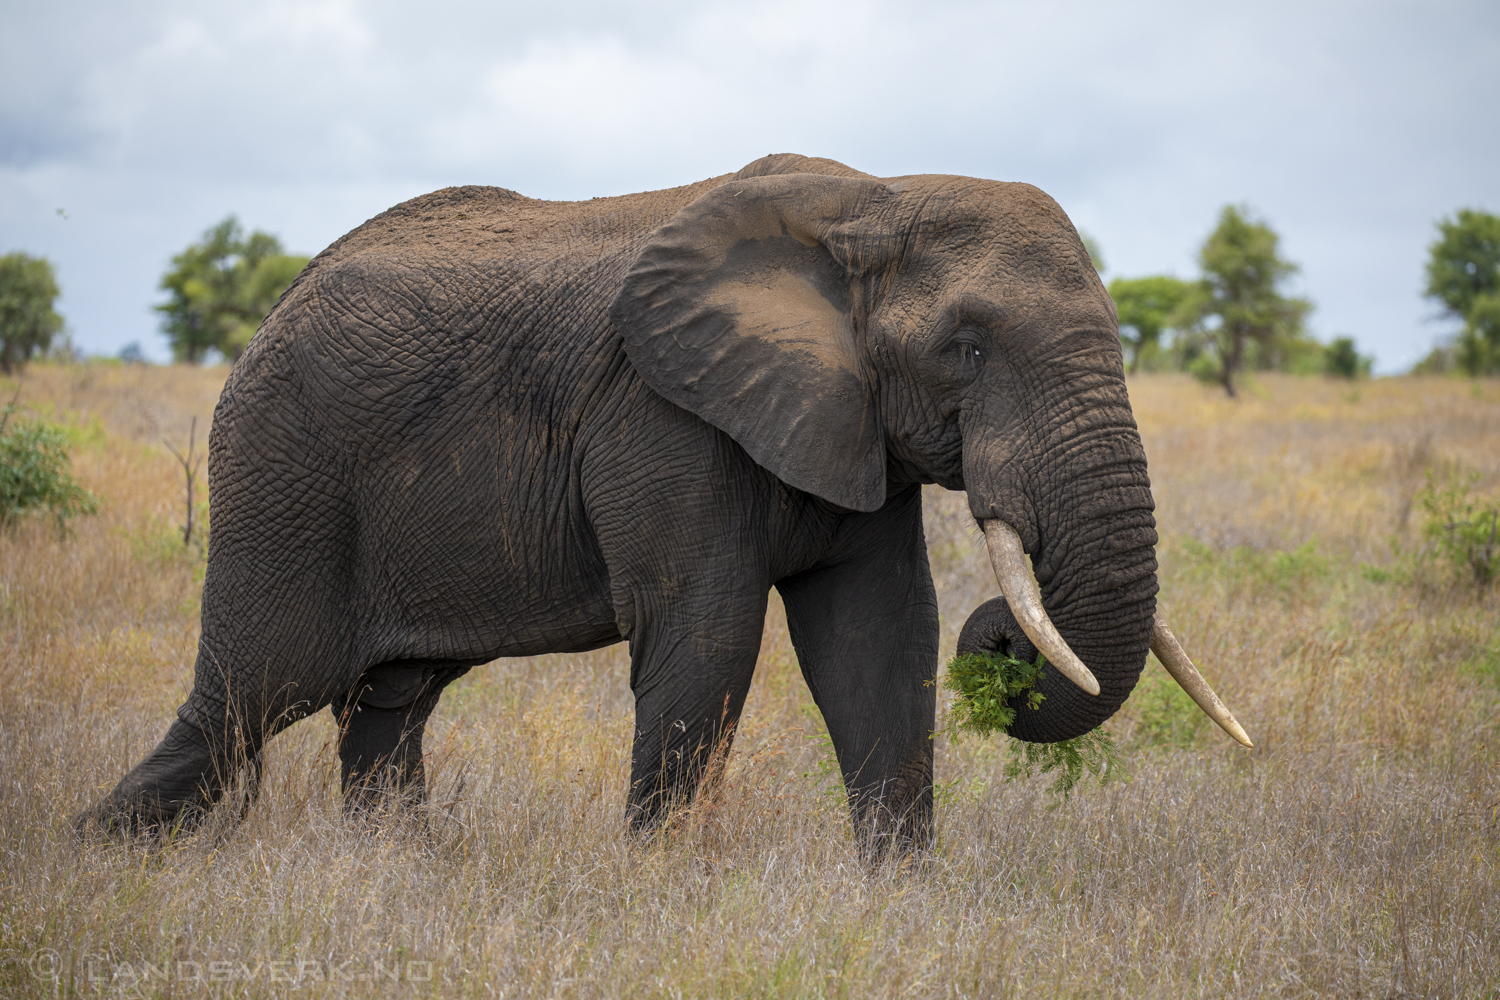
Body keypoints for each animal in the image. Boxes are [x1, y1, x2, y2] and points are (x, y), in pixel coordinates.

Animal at [85, 152, 1254, 857]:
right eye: (965, 349)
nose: (1006, 636)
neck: (875, 200)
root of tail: (263, 326)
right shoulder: (664, 414)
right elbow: (708, 633)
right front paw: (660, 891)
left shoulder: (845, 415)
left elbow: (879, 638)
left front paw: (901, 902)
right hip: (286, 473)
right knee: (248, 697)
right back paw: (89, 854)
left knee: (385, 709)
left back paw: (394, 874)